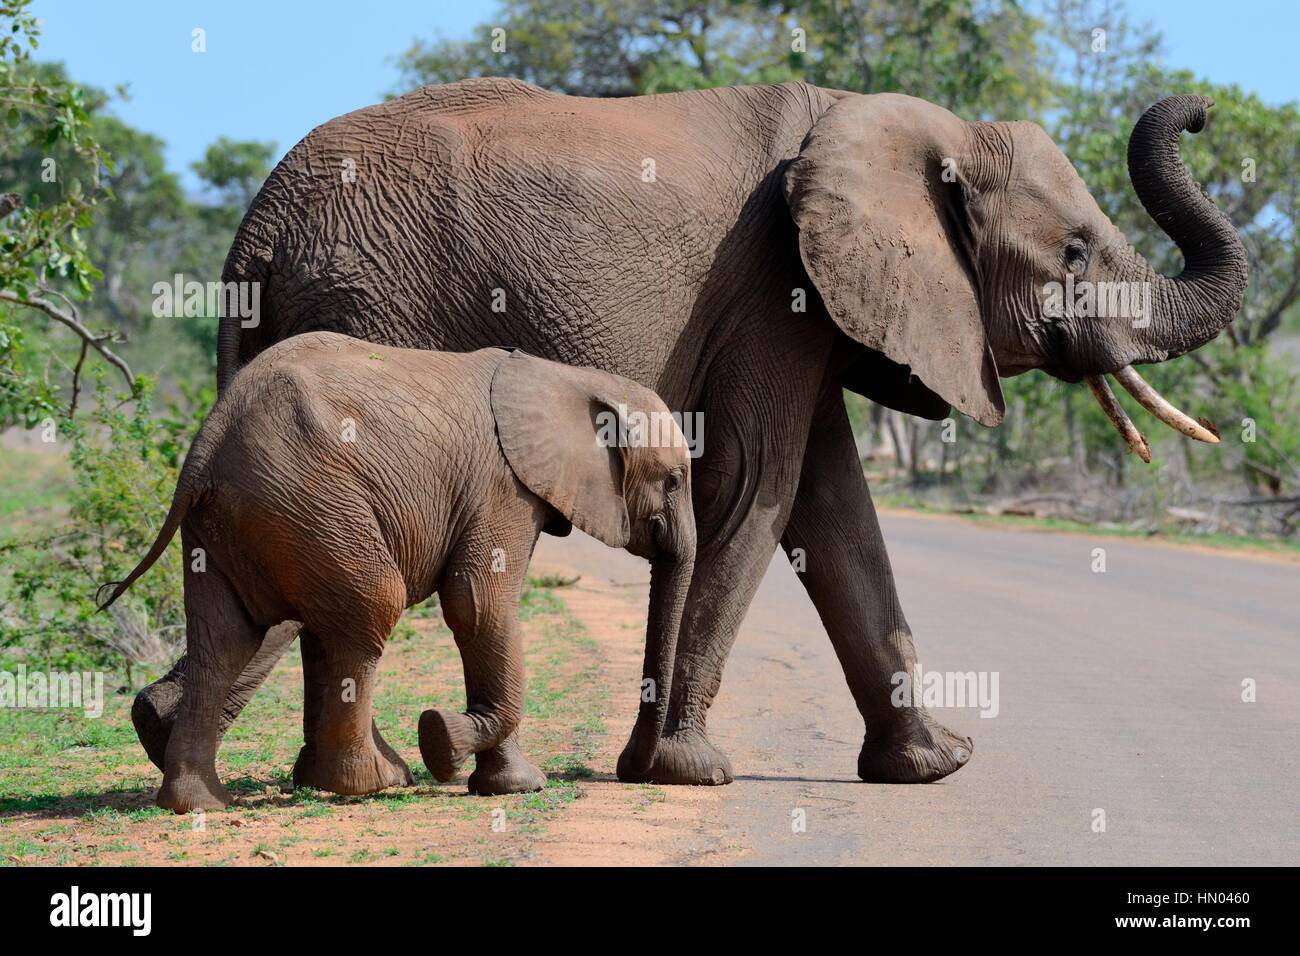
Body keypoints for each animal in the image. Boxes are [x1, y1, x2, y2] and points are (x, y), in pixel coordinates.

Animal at [96, 332, 696, 811]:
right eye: (673, 480)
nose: (635, 772)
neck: (570, 378)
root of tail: (206, 442)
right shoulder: (502, 488)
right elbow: (478, 602)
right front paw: (451, 746)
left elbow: (478, 609)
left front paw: (494, 776)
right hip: (310, 498)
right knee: (368, 612)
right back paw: (373, 783)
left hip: (237, 522)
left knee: (227, 640)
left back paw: (199, 803)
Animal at [137, 80, 1242, 785]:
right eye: (1074, 253)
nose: (1202, 109)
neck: (894, 122)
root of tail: (255, 228)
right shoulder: (770, 282)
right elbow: (760, 483)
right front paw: (686, 769)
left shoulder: (805, 304)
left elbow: (833, 507)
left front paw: (932, 767)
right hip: (372, 312)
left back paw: (178, 736)